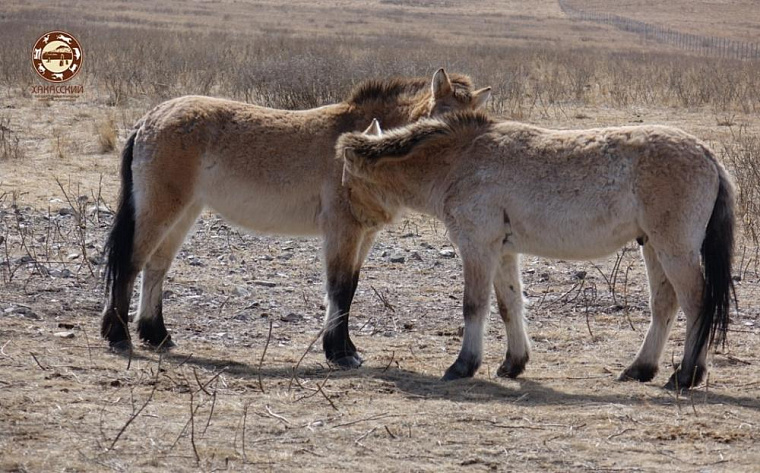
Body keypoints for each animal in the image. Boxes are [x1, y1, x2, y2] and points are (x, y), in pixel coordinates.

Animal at [101, 69, 492, 370]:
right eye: (442, 118)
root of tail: (150, 118)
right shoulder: (342, 231)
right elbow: (339, 288)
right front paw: (339, 354)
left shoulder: (364, 235)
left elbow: (349, 288)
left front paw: (347, 350)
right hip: (161, 208)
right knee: (131, 263)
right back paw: (119, 336)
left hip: (185, 212)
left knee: (156, 267)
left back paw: (158, 336)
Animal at [337, 111, 735, 390]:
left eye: (348, 182)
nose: (351, 223)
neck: (459, 160)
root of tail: (707, 154)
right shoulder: (503, 252)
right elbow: (508, 305)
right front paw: (513, 364)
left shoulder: (477, 247)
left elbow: (474, 306)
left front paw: (463, 365)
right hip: (653, 247)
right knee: (665, 304)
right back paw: (641, 369)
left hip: (675, 250)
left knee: (697, 303)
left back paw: (685, 376)